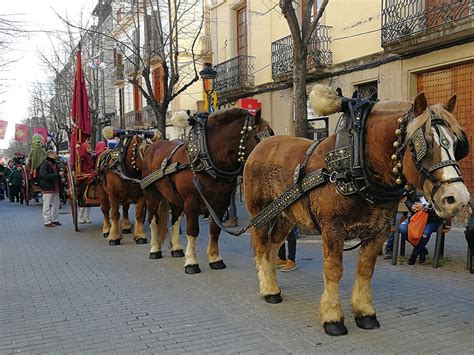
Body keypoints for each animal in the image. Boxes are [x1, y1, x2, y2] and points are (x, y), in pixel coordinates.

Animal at [141, 109, 272, 276]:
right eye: (259, 139)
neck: (206, 159)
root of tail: (151, 147)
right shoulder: (191, 202)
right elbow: (192, 230)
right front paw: (191, 262)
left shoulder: (221, 202)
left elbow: (215, 229)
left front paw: (215, 259)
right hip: (151, 195)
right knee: (153, 220)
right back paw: (155, 249)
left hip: (174, 198)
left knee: (176, 218)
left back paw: (176, 248)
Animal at [244, 85, 470, 336]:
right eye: (424, 144)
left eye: (457, 145)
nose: (457, 198)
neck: (355, 161)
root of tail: (260, 146)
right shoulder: (333, 229)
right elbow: (333, 270)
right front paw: (332, 317)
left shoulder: (378, 231)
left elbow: (365, 269)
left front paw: (364, 312)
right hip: (259, 213)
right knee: (262, 245)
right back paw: (268, 289)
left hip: (286, 215)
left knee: (273, 244)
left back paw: (272, 282)